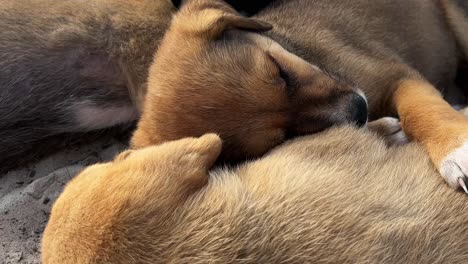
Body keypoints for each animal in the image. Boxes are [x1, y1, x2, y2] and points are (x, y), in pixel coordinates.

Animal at [131, 0, 468, 191]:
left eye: (280, 71)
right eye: (282, 139)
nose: (359, 109)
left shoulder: (395, 75)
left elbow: (420, 109)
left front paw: (457, 150)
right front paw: (381, 129)